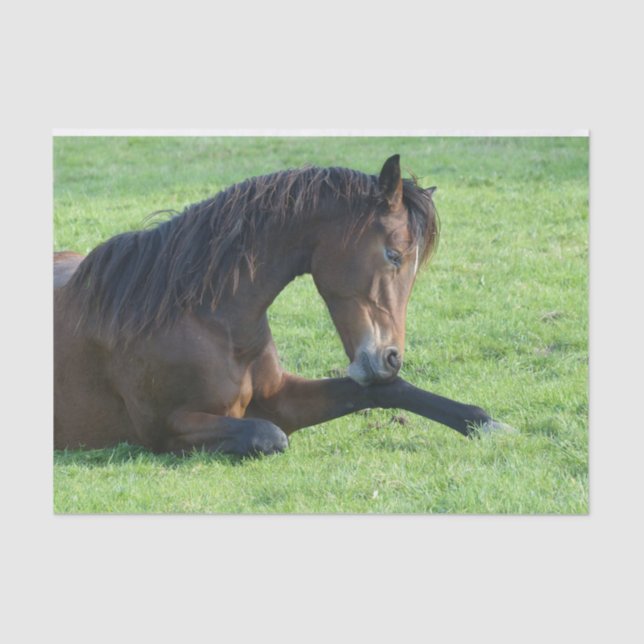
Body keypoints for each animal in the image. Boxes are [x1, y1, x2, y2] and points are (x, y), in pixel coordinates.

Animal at [54, 154, 508, 456]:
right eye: (393, 255)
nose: (391, 357)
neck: (207, 320)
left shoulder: (282, 397)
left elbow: (388, 390)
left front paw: (487, 423)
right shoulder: (165, 429)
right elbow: (269, 435)